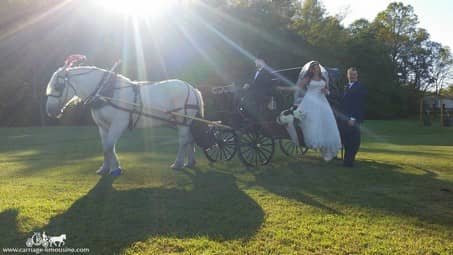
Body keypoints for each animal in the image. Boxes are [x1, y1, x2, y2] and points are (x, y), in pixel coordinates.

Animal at [44, 64, 203, 175]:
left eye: (58, 86)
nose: (50, 111)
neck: (106, 93)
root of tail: (192, 88)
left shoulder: (118, 124)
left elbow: (109, 145)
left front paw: (115, 169)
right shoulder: (103, 126)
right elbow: (106, 147)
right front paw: (105, 168)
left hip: (183, 121)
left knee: (183, 141)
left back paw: (178, 163)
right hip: (183, 122)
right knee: (190, 139)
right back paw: (190, 162)